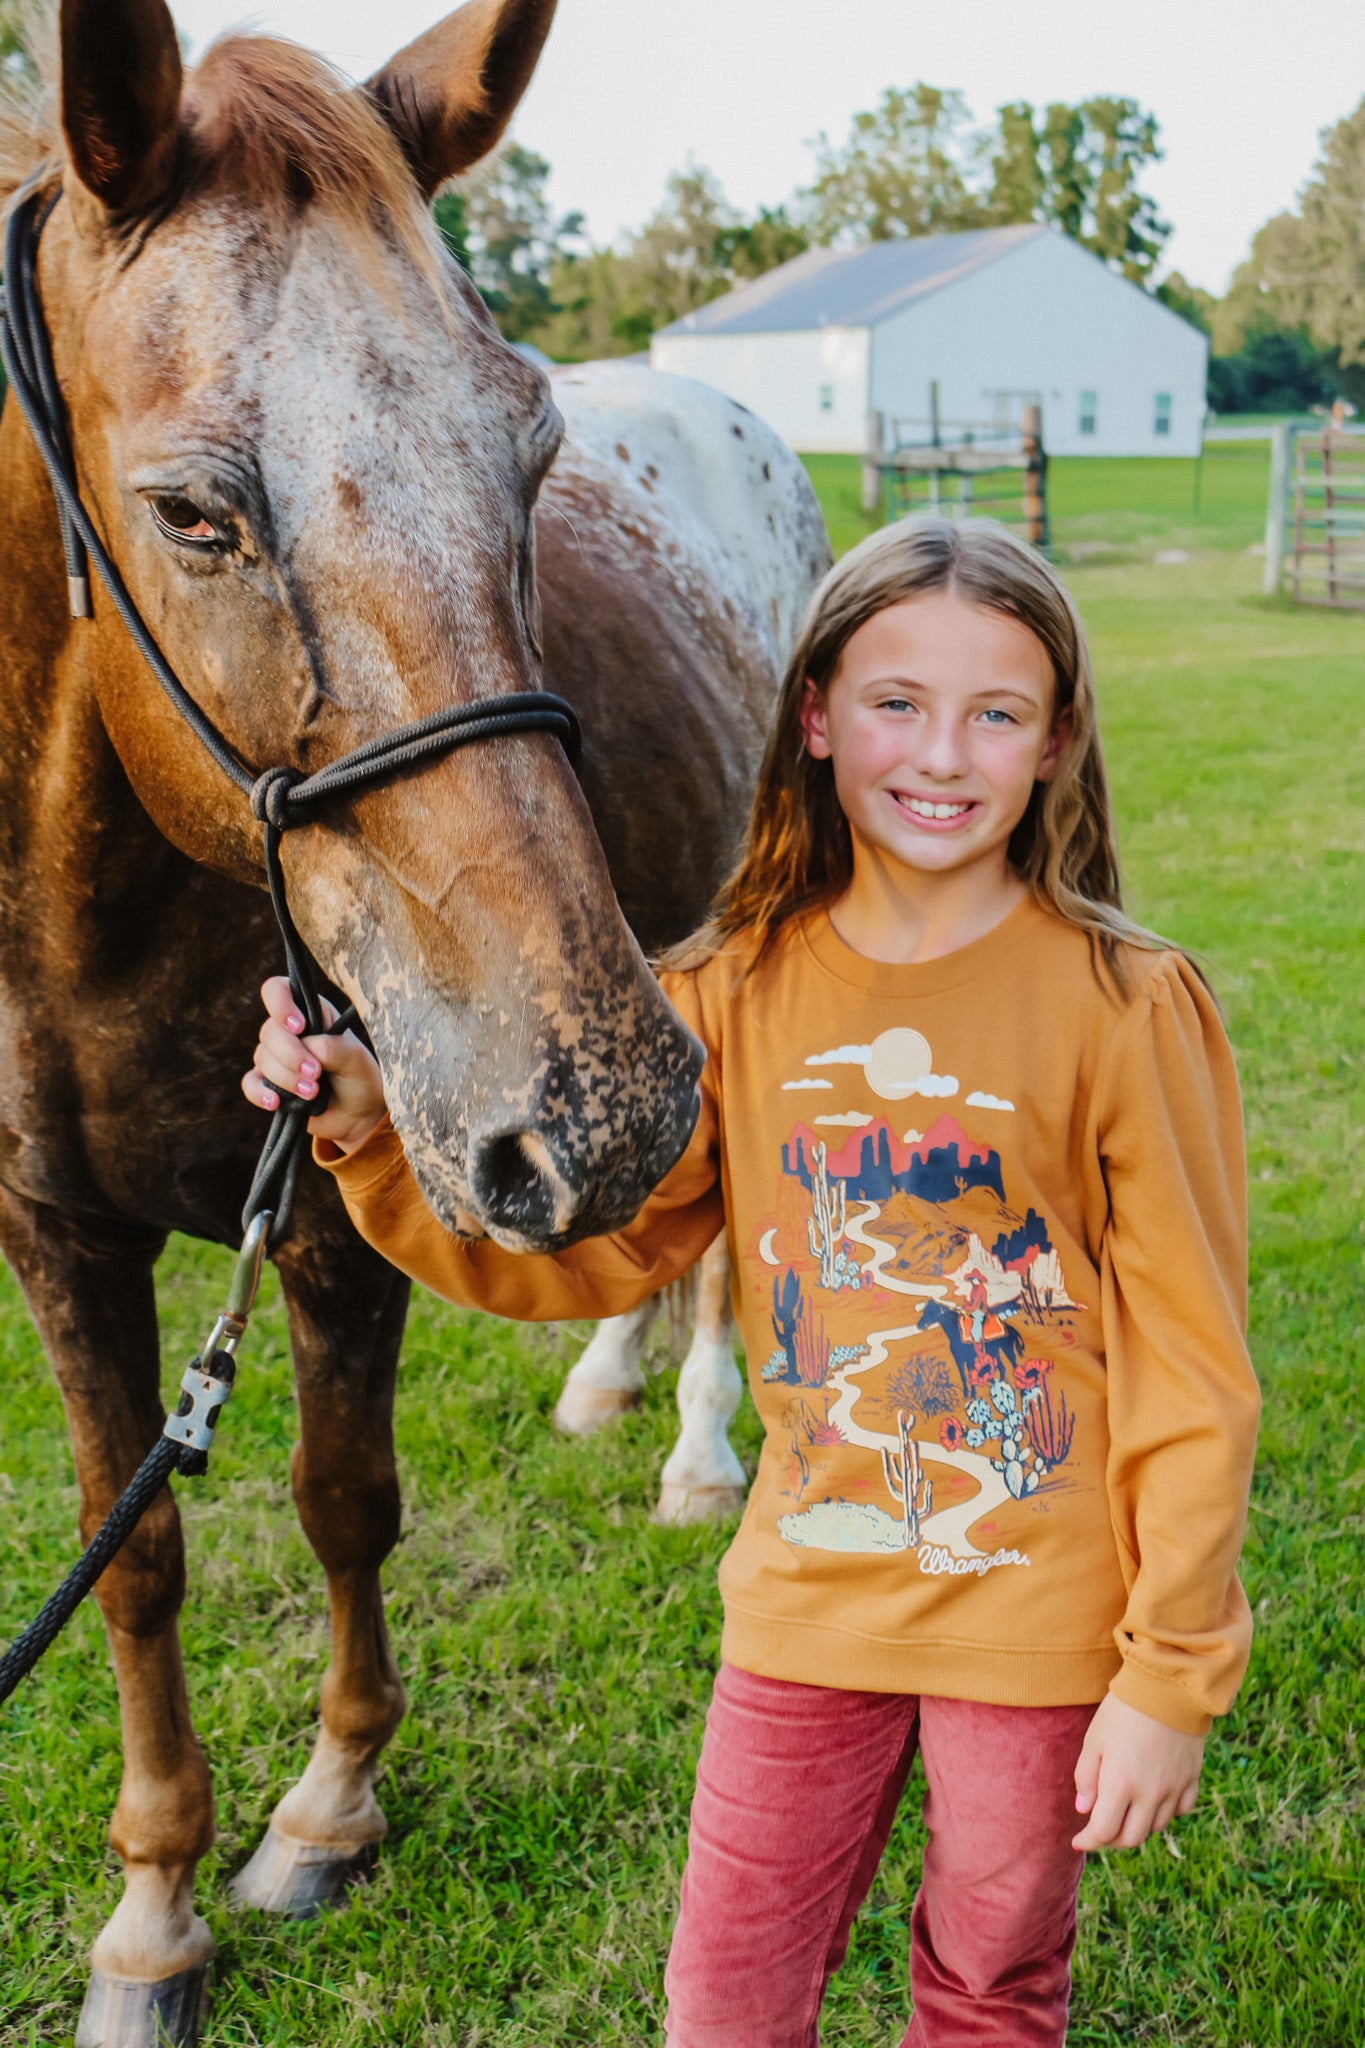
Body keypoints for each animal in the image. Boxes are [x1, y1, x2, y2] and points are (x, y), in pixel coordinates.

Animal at [0, 8, 834, 2039]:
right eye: (193, 513)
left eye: (529, 457)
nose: (593, 1106)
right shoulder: (54, 1230)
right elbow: (135, 1550)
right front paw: (152, 1915)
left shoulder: (337, 1202)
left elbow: (339, 1494)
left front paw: (326, 1812)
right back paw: (608, 1378)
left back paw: (692, 1444)